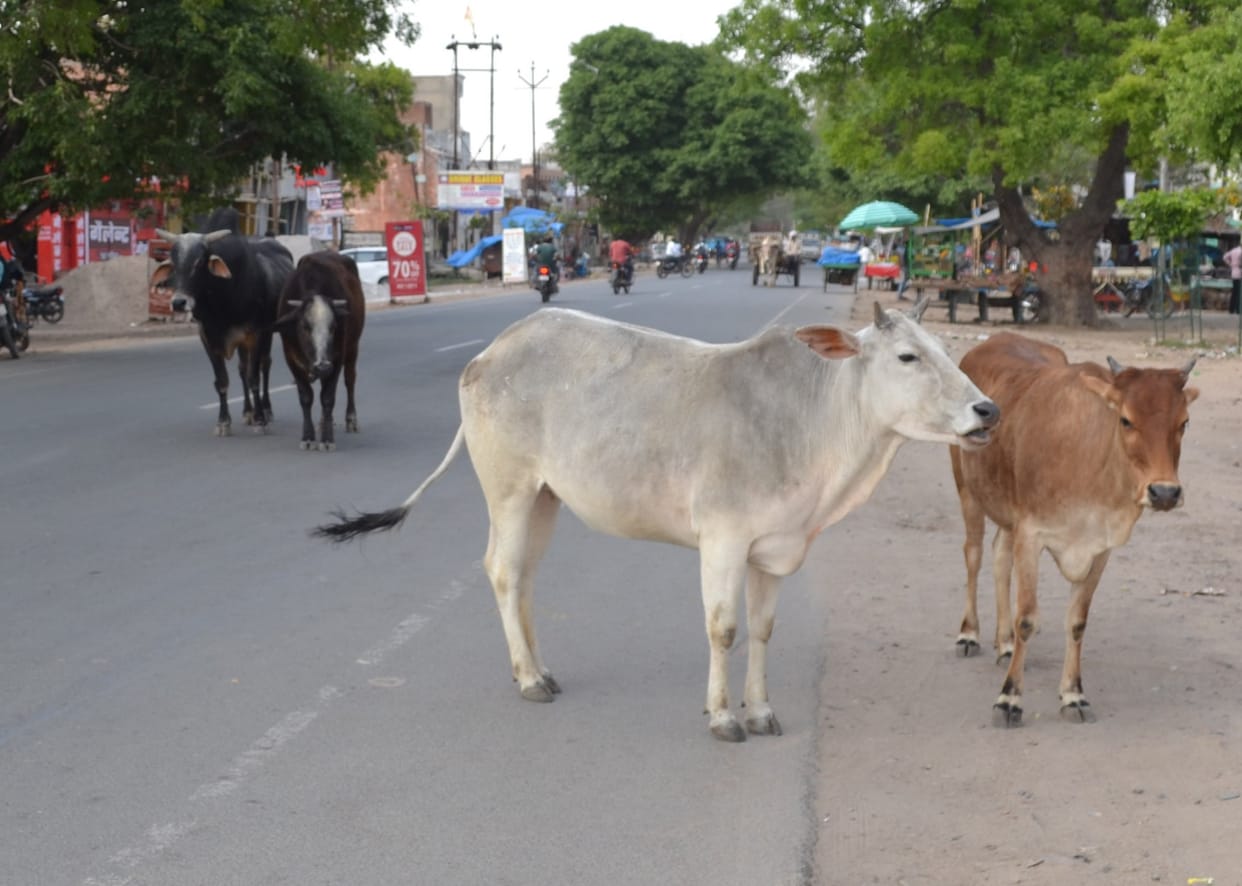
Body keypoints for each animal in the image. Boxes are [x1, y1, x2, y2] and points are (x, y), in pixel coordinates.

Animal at [152, 229, 294, 435]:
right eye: (174, 264)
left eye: (199, 262)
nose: (178, 302)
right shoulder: (208, 338)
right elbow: (222, 381)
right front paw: (223, 422)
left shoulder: (257, 334)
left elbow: (254, 378)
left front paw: (260, 420)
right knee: (243, 369)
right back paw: (248, 412)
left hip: (270, 332)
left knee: (264, 366)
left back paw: (266, 410)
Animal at [275, 252, 365, 451]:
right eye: (305, 327)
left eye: (333, 327)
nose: (322, 366)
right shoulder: (291, 359)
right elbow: (306, 397)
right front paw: (308, 437)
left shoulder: (336, 360)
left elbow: (328, 398)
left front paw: (327, 440)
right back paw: (324, 421)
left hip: (353, 348)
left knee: (350, 380)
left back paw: (351, 419)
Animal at [315, 301, 1000, 742]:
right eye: (908, 356)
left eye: (946, 352)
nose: (986, 410)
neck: (812, 418)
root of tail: (492, 350)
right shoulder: (723, 539)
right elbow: (724, 628)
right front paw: (723, 718)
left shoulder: (775, 548)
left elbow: (762, 631)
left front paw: (760, 711)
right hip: (508, 490)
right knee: (504, 573)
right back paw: (528, 679)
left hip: (545, 497)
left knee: (525, 577)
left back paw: (539, 668)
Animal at [949, 332, 1198, 727]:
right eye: (1126, 420)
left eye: (1184, 422)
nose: (1164, 492)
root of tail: (994, 339)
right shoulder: (1031, 535)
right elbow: (1027, 618)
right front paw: (1009, 699)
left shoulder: (1099, 548)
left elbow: (1077, 621)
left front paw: (1073, 694)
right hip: (968, 491)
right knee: (973, 555)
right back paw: (969, 635)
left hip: (1006, 510)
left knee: (1000, 557)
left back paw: (1004, 644)